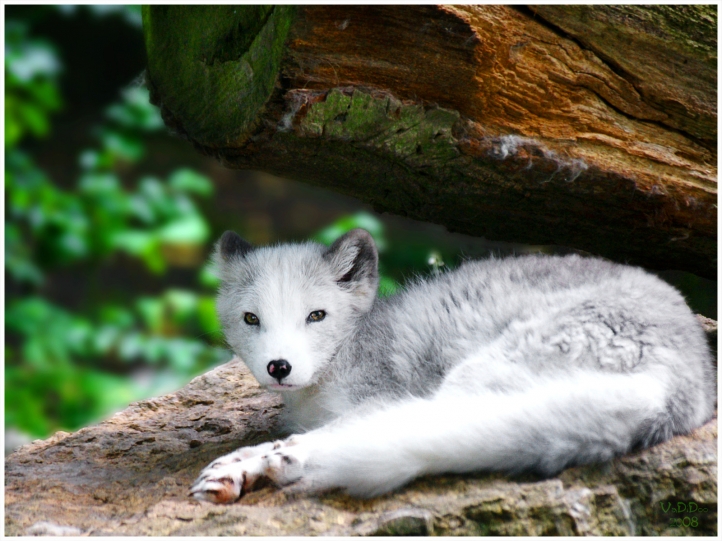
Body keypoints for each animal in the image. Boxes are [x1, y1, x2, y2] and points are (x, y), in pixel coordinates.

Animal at [191, 228, 716, 502]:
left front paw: (244, 461)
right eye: (251, 319)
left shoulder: (376, 395)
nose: (279, 367)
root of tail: (681, 382)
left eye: (315, 316)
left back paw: (279, 463)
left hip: (472, 379)